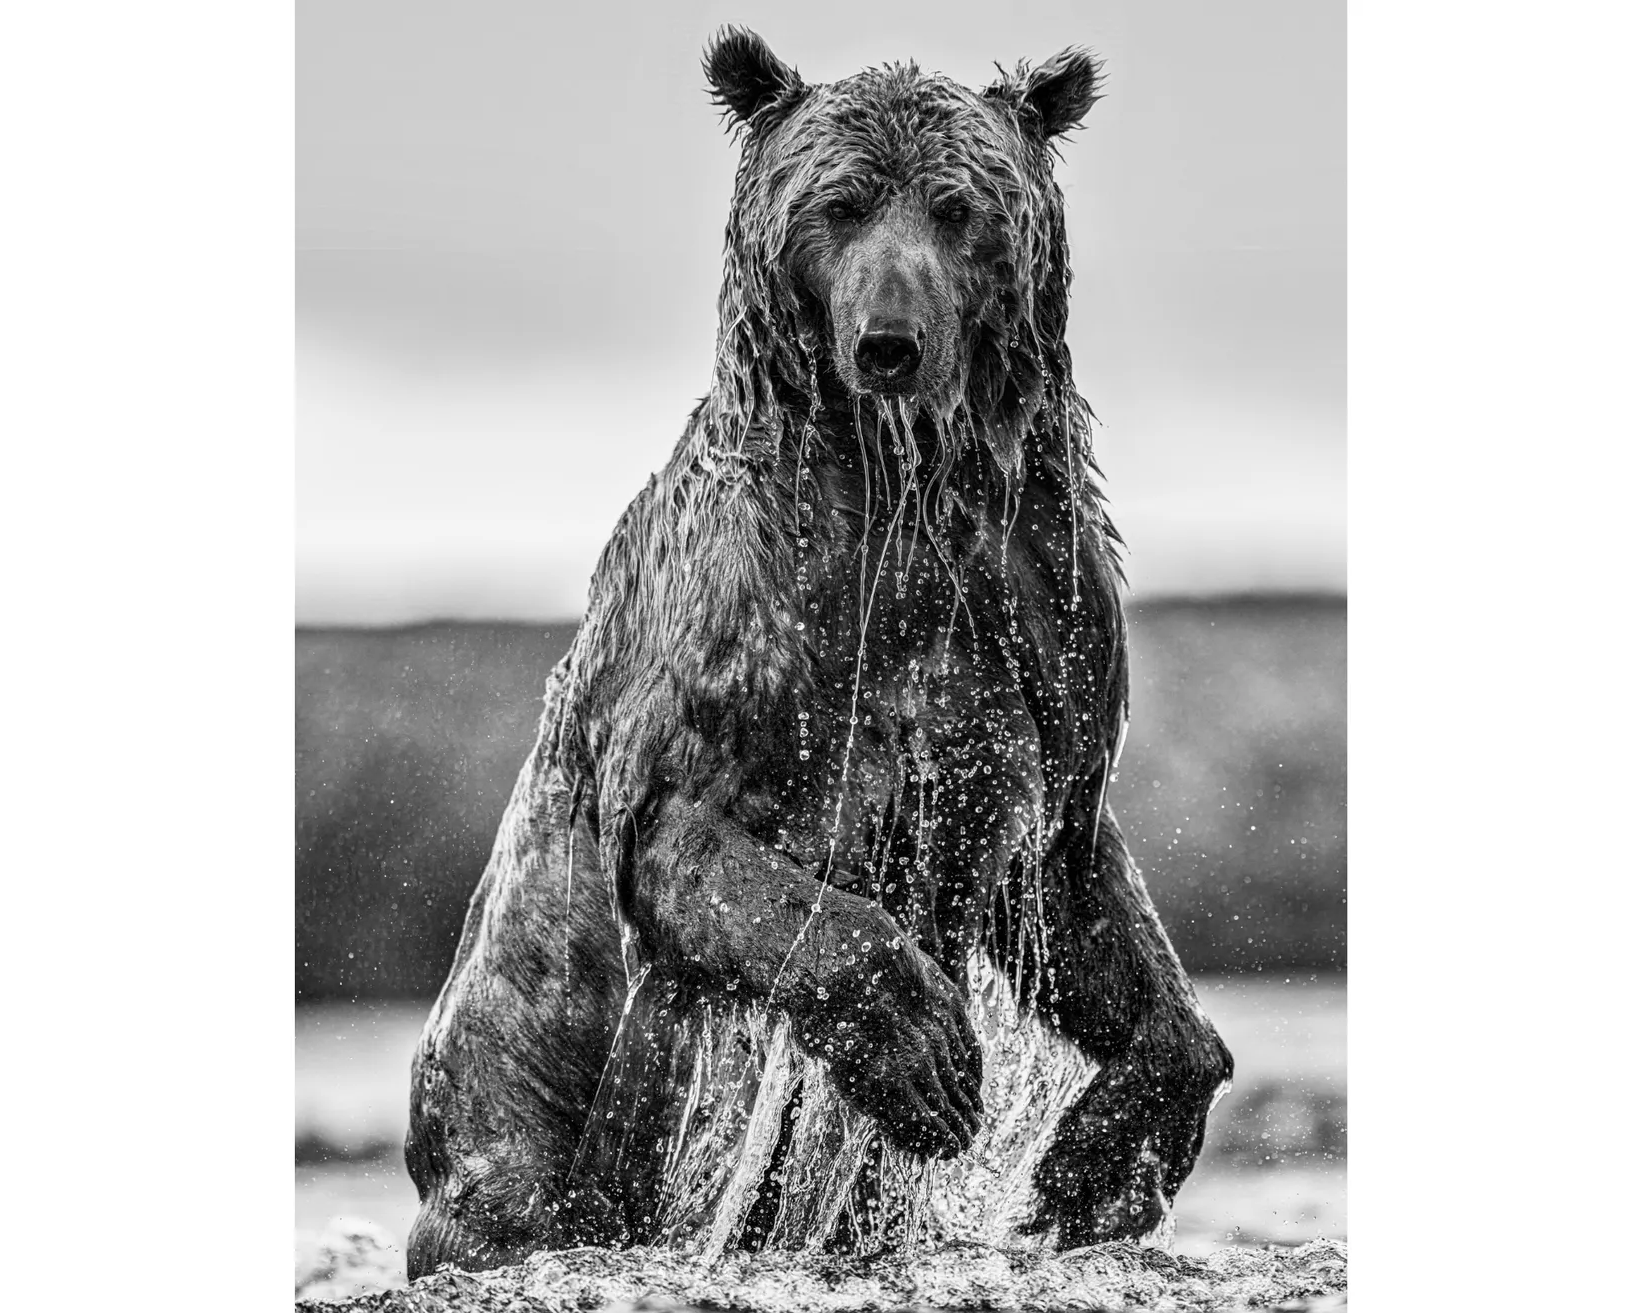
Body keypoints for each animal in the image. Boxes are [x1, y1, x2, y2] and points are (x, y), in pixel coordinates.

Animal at [403, 29, 1233, 1278]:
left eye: (958, 207)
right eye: (836, 206)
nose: (889, 343)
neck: (906, 492)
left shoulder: (1039, 645)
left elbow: (1084, 903)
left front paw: (1091, 1169)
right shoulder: (744, 642)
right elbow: (705, 851)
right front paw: (930, 1054)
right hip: (510, 1094)